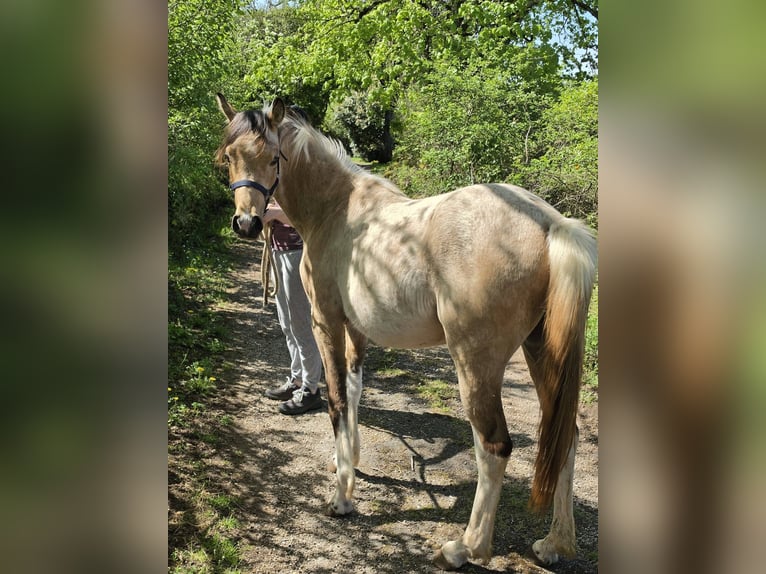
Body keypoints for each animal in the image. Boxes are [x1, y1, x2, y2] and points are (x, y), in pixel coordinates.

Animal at [215, 95, 597, 570]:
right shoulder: (356, 330)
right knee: (565, 437)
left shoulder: (326, 322)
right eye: (230, 157)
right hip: (541, 350)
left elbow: (337, 400)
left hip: (476, 363)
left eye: (273, 157)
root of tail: (550, 224)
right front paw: (349, 462)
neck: (336, 209)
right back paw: (554, 544)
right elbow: (355, 390)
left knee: (494, 447)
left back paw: (465, 548)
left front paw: (342, 499)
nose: (247, 224)